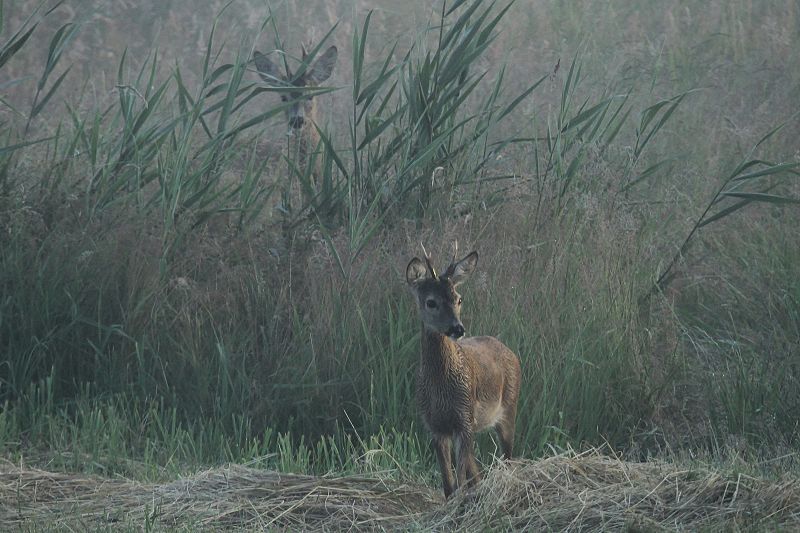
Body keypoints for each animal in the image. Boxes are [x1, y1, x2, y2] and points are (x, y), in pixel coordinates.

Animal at [404, 243, 520, 496]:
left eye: (458, 299)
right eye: (431, 302)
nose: (457, 328)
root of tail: (507, 349)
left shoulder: (464, 418)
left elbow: (459, 480)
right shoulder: (434, 425)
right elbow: (449, 485)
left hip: (509, 407)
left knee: (508, 458)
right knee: (476, 470)